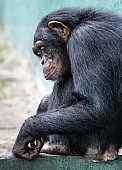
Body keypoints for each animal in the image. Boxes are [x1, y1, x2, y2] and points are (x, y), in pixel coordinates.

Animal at [12, 7, 122, 161]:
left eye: (43, 48)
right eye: (39, 53)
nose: (43, 62)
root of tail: (110, 152)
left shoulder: (83, 40)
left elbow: (96, 106)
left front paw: (26, 131)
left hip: (92, 144)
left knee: (65, 80)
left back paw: (56, 146)